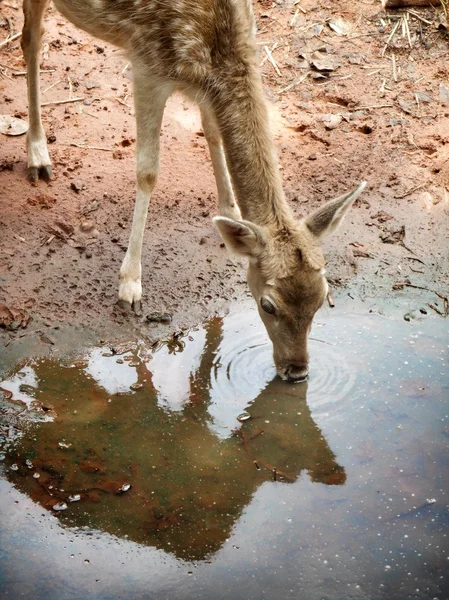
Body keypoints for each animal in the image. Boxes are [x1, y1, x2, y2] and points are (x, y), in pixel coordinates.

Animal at [21, 0, 366, 382]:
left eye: (323, 297)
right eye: (268, 305)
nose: (298, 372)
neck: (218, 41)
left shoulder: (204, 83)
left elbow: (211, 129)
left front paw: (230, 213)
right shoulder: (147, 65)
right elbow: (148, 171)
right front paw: (130, 285)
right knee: (31, 40)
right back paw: (38, 155)